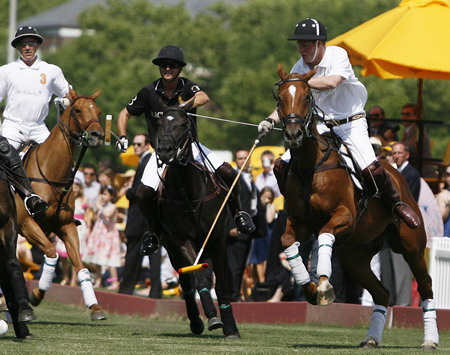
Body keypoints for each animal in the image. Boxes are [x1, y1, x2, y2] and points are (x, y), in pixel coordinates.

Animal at [15, 89, 107, 322]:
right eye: (77, 110)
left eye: (99, 111)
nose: (97, 135)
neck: (52, 174)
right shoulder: (26, 224)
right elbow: (51, 253)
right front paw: (35, 295)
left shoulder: (66, 226)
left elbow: (81, 266)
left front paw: (95, 307)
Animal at [154, 103, 241, 340]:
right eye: (159, 123)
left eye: (184, 124)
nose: (165, 151)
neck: (190, 194)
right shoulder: (182, 241)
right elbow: (199, 276)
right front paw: (212, 317)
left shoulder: (218, 239)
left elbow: (222, 285)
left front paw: (231, 328)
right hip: (172, 250)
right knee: (185, 283)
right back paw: (195, 321)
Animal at [274, 64, 440, 350]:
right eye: (280, 98)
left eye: (307, 96)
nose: (293, 135)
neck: (310, 165)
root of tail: (394, 170)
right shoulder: (300, 222)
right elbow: (288, 242)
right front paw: (310, 288)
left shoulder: (345, 217)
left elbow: (324, 234)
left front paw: (324, 286)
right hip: (355, 256)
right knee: (382, 292)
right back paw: (371, 338)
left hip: (412, 246)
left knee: (426, 285)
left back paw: (430, 340)